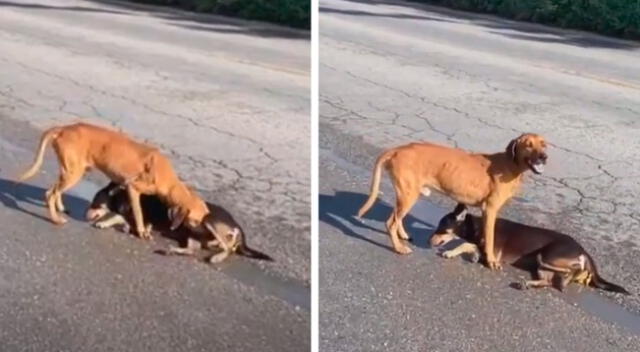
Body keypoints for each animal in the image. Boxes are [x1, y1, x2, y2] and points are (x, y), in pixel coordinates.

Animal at [17, 121, 209, 239]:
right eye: (195, 221)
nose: (205, 234)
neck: (168, 180)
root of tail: (64, 128)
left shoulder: (121, 185)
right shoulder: (133, 188)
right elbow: (138, 213)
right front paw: (141, 231)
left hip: (69, 170)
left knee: (54, 192)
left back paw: (61, 209)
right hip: (73, 173)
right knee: (50, 193)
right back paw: (56, 219)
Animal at [87, 182, 272, 262]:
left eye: (94, 202)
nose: (86, 215)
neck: (122, 196)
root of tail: (237, 224)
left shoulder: (140, 216)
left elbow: (116, 216)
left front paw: (104, 222)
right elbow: (123, 219)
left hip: (208, 220)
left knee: (229, 248)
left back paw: (218, 257)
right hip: (192, 234)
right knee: (193, 250)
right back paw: (173, 250)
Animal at [358, 132, 548, 270]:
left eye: (544, 144)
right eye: (528, 144)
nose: (544, 157)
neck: (510, 164)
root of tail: (398, 149)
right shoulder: (490, 210)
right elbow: (489, 238)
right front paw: (491, 260)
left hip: (407, 195)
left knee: (397, 218)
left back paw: (403, 235)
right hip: (408, 195)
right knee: (391, 222)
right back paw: (398, 248)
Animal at [430, 204, 632, 294]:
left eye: (441, 228)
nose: (430, 241)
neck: (477, 225)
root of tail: (584, 251)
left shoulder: (493, 251)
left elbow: (465, 243)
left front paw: (450, 252)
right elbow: (470, 246)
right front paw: (471, 255)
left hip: (547, 256)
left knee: (570, 271)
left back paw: (568, 277)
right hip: (542, 267)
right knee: (549, 282)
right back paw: (527, 284)